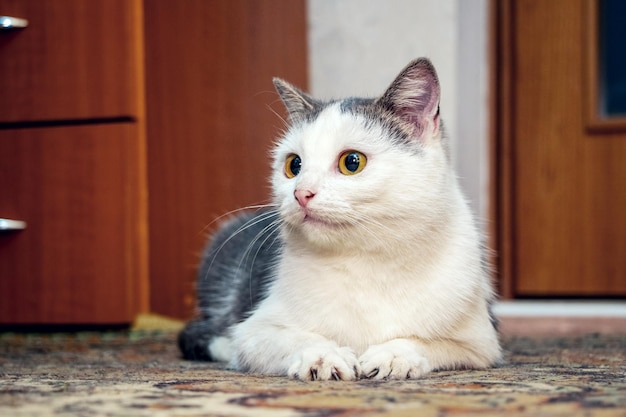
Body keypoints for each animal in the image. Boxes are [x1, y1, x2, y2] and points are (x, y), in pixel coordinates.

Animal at [178, 58, 500, 380]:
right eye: (293, 165)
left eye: (352, 162)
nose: (301, 193)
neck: (366, 262)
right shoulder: (257, 330)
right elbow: (289, 338)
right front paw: (323, 355)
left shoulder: (481, 342)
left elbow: (427, 342)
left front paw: (394, 355)